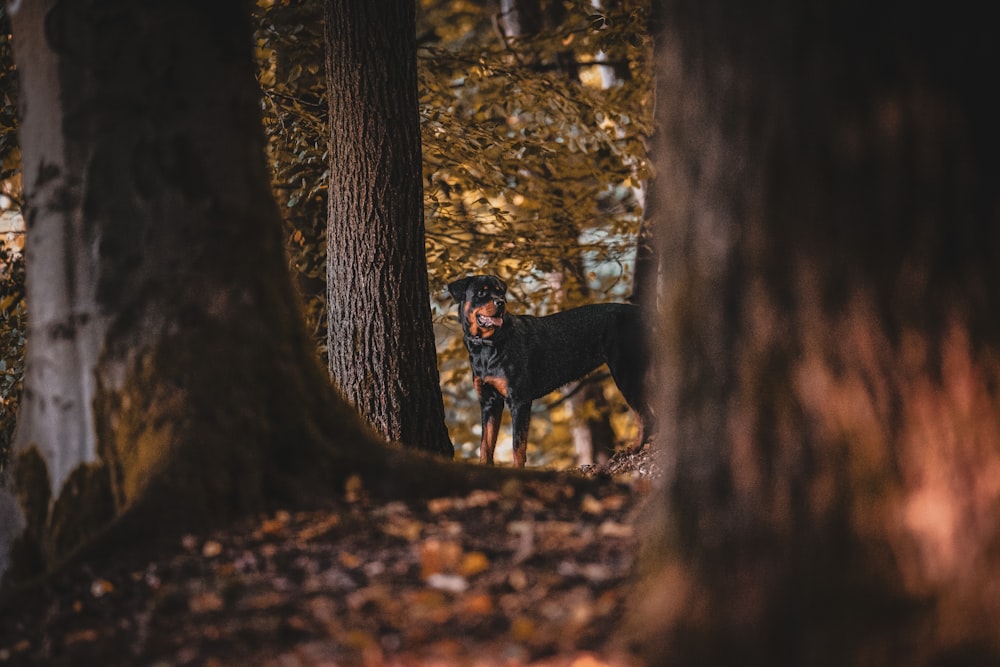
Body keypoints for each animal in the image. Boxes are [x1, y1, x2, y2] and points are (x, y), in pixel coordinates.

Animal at [450, 274, 652, 468]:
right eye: (482, 293)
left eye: (500, 292)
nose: (501, 303)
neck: (486, 347)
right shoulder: (489, 402)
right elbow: (485, 445)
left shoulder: (519, 400)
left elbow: (518, 446)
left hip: (625, 373)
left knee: (645, 415)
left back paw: (635, 448)